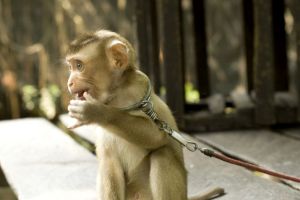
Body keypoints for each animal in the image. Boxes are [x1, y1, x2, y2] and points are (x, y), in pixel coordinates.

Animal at [67, 30, 224, 200]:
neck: (116, 94)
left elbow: (157, 136)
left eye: (79, 66)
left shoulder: (138, 89)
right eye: (70, 67)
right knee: (108, 163)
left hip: (171, 192)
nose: (69, 83)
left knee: (162, 154)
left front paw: (96, 112)